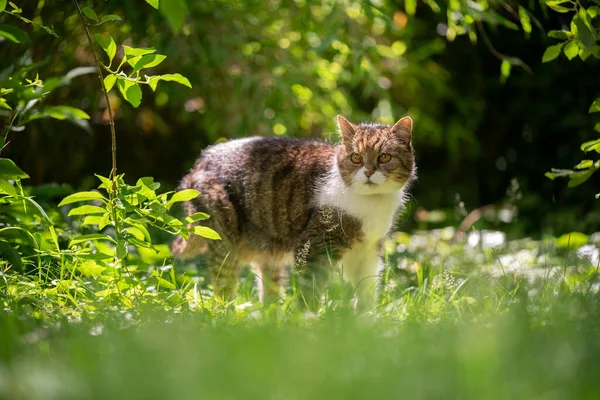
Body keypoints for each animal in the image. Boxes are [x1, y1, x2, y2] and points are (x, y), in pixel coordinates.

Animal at [172, 115, 418, 310]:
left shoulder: (367, 250)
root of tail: (197, 164)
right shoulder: (314, 247)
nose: (368, 172)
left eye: (384, 157)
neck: (371, 203)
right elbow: (310, 292)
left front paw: (365, 324)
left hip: (269, 251)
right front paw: (307, 323)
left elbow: (366, 288)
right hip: (224, 241)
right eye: (356, 158)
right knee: (223, 288)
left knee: (268, 292)